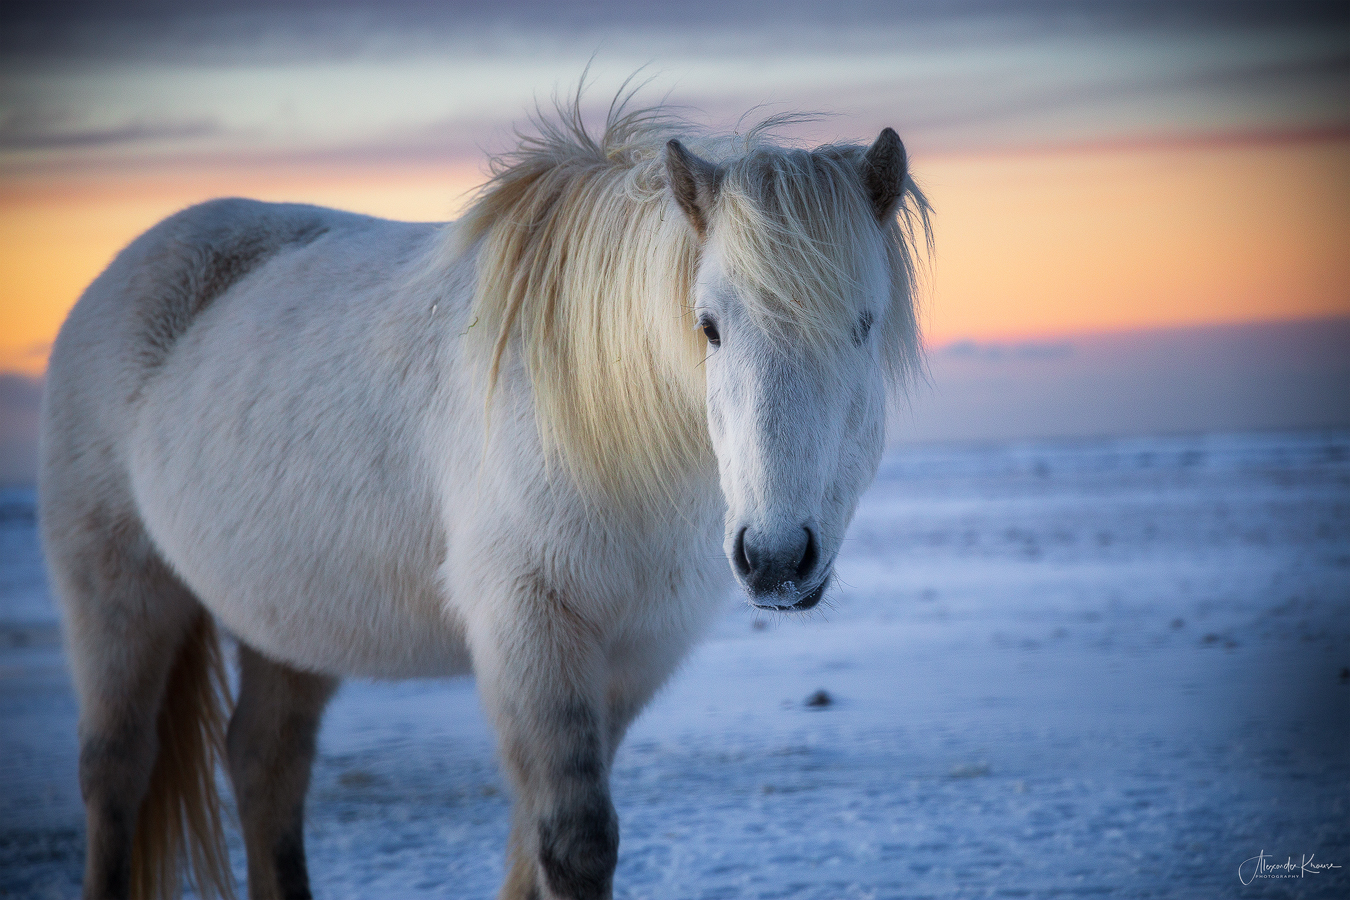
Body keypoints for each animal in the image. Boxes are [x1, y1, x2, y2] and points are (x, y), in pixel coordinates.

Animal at [39, 98, 928, 900]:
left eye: (862, 326)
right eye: (708, 324)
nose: (776, 560)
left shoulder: (633, 654)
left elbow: (534, 850)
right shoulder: (528, 630)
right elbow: (574, 846)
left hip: (285, 618)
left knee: (265, 764)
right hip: (118, 590)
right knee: (115, 772)